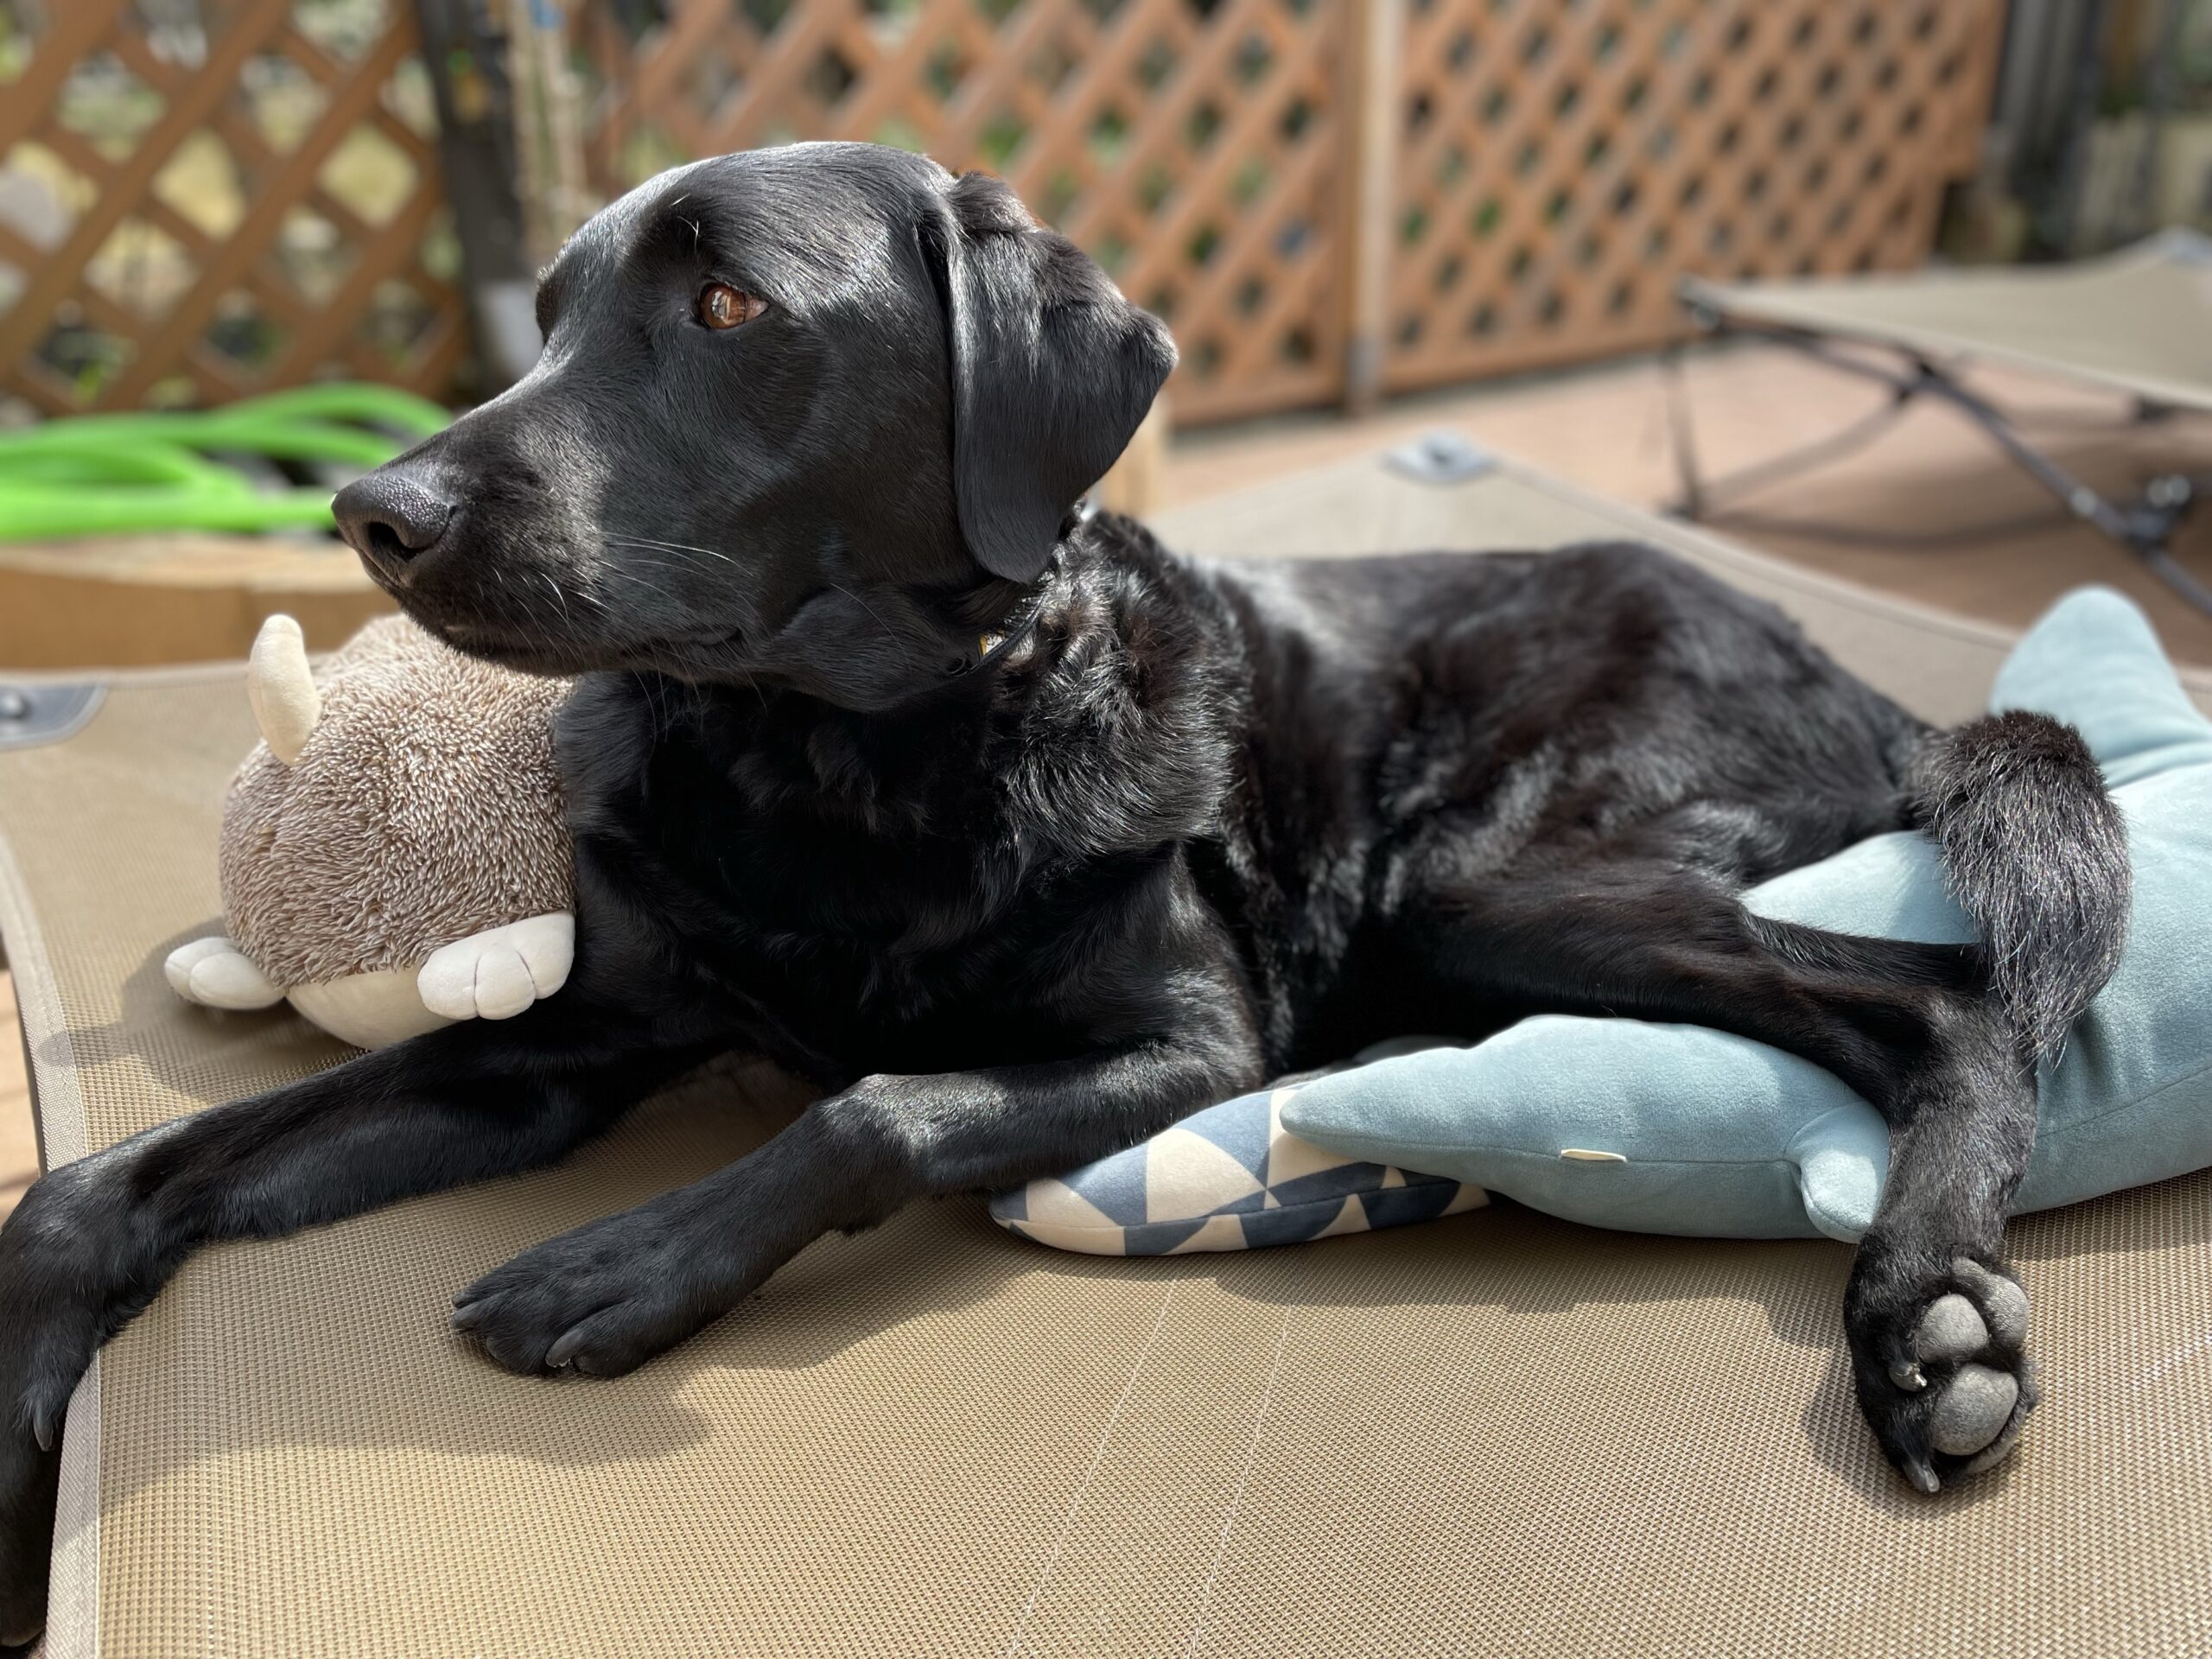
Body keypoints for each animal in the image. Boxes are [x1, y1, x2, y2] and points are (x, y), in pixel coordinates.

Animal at [0, 142, 2129, 1645]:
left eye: (725, 302)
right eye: (549, 315)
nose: (373, 511)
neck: (838, 768)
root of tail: (1864, 674)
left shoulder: (1191, 1041)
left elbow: (872, 1107)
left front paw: (622, 1269)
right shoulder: (562, 1050)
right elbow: (106, 1182)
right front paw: (28, 1380)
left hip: (1488, 874)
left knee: (1941, 1002)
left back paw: (1927, 1321)